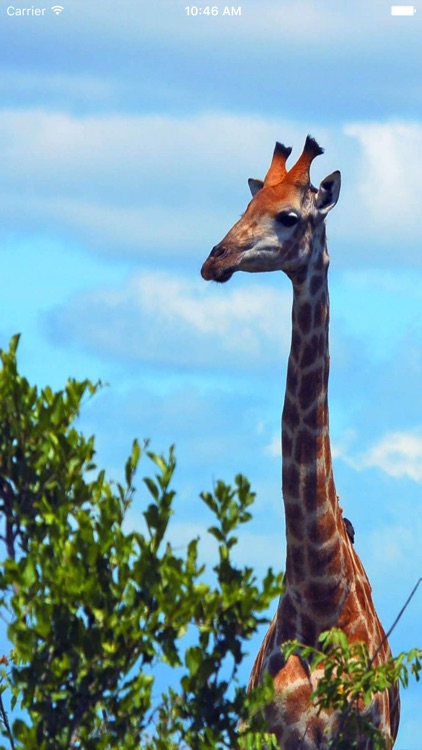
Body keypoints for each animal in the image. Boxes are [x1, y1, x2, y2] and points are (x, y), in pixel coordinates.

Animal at [200, 138, 398, 748]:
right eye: (247, 204)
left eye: (289, 216)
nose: (214, 260)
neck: (318, 599)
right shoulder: (272, 735)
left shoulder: (368, 737)